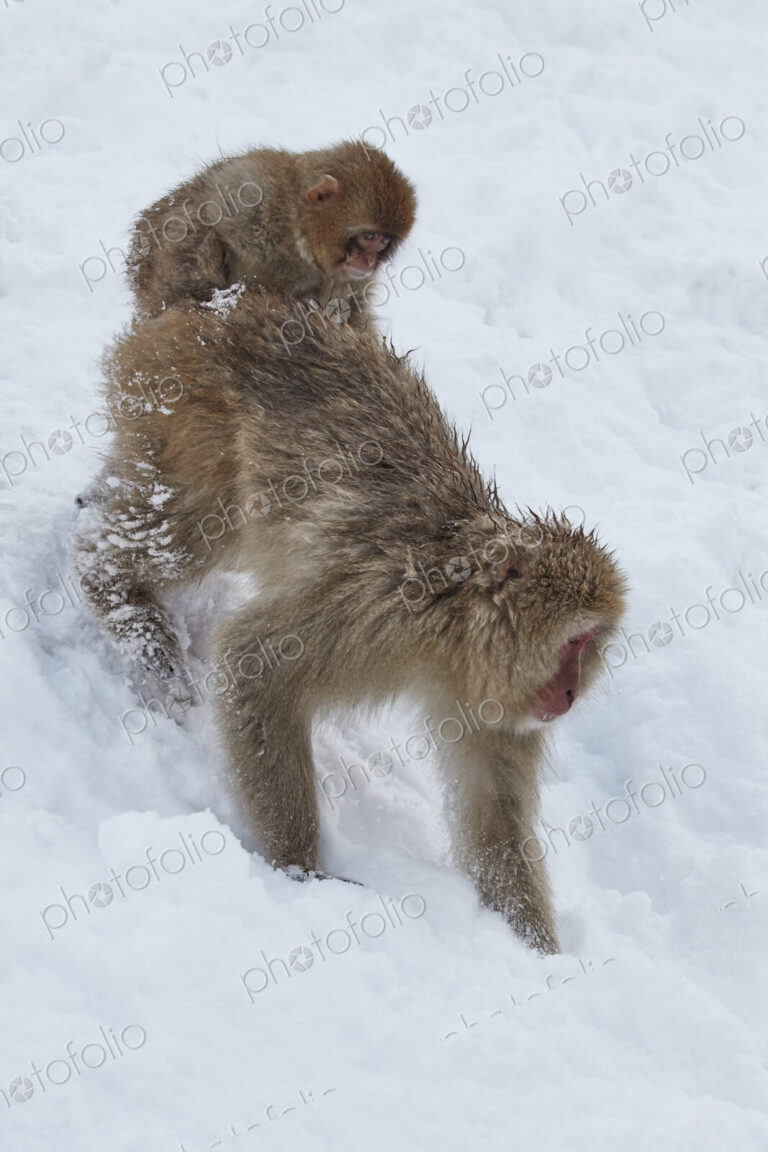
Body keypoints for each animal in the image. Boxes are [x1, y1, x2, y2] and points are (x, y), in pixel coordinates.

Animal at [74, 288, 627, 954]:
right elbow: (256, 662)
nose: (570, 693)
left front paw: (539, 956)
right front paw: (299, 873)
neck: (457, 627)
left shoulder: (495, 706)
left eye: (591, 645)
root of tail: (217, 308)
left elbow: (493, 814)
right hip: (179, 407)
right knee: (186, 531)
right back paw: (121, 601)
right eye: (574, 641)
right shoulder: (384, 612)